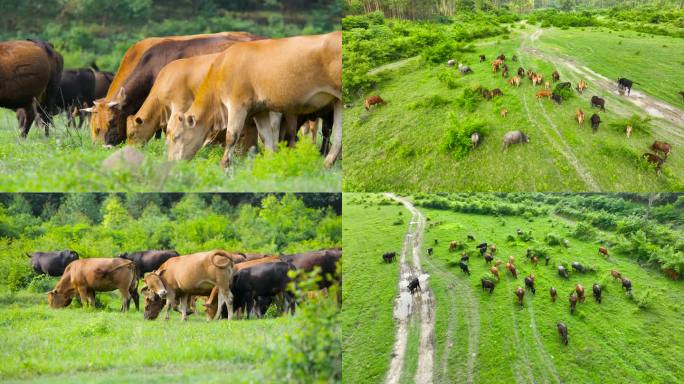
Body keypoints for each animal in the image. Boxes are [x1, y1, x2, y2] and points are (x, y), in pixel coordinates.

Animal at [164, 33, 340, 169]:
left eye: (176, 136)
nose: (170, 163)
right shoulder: (260, 110)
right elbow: (266, 137)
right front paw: (270, 162)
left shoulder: (237, 105)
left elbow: (231, 135)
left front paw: (225, 165)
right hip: (338, 103)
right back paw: (328, 163)